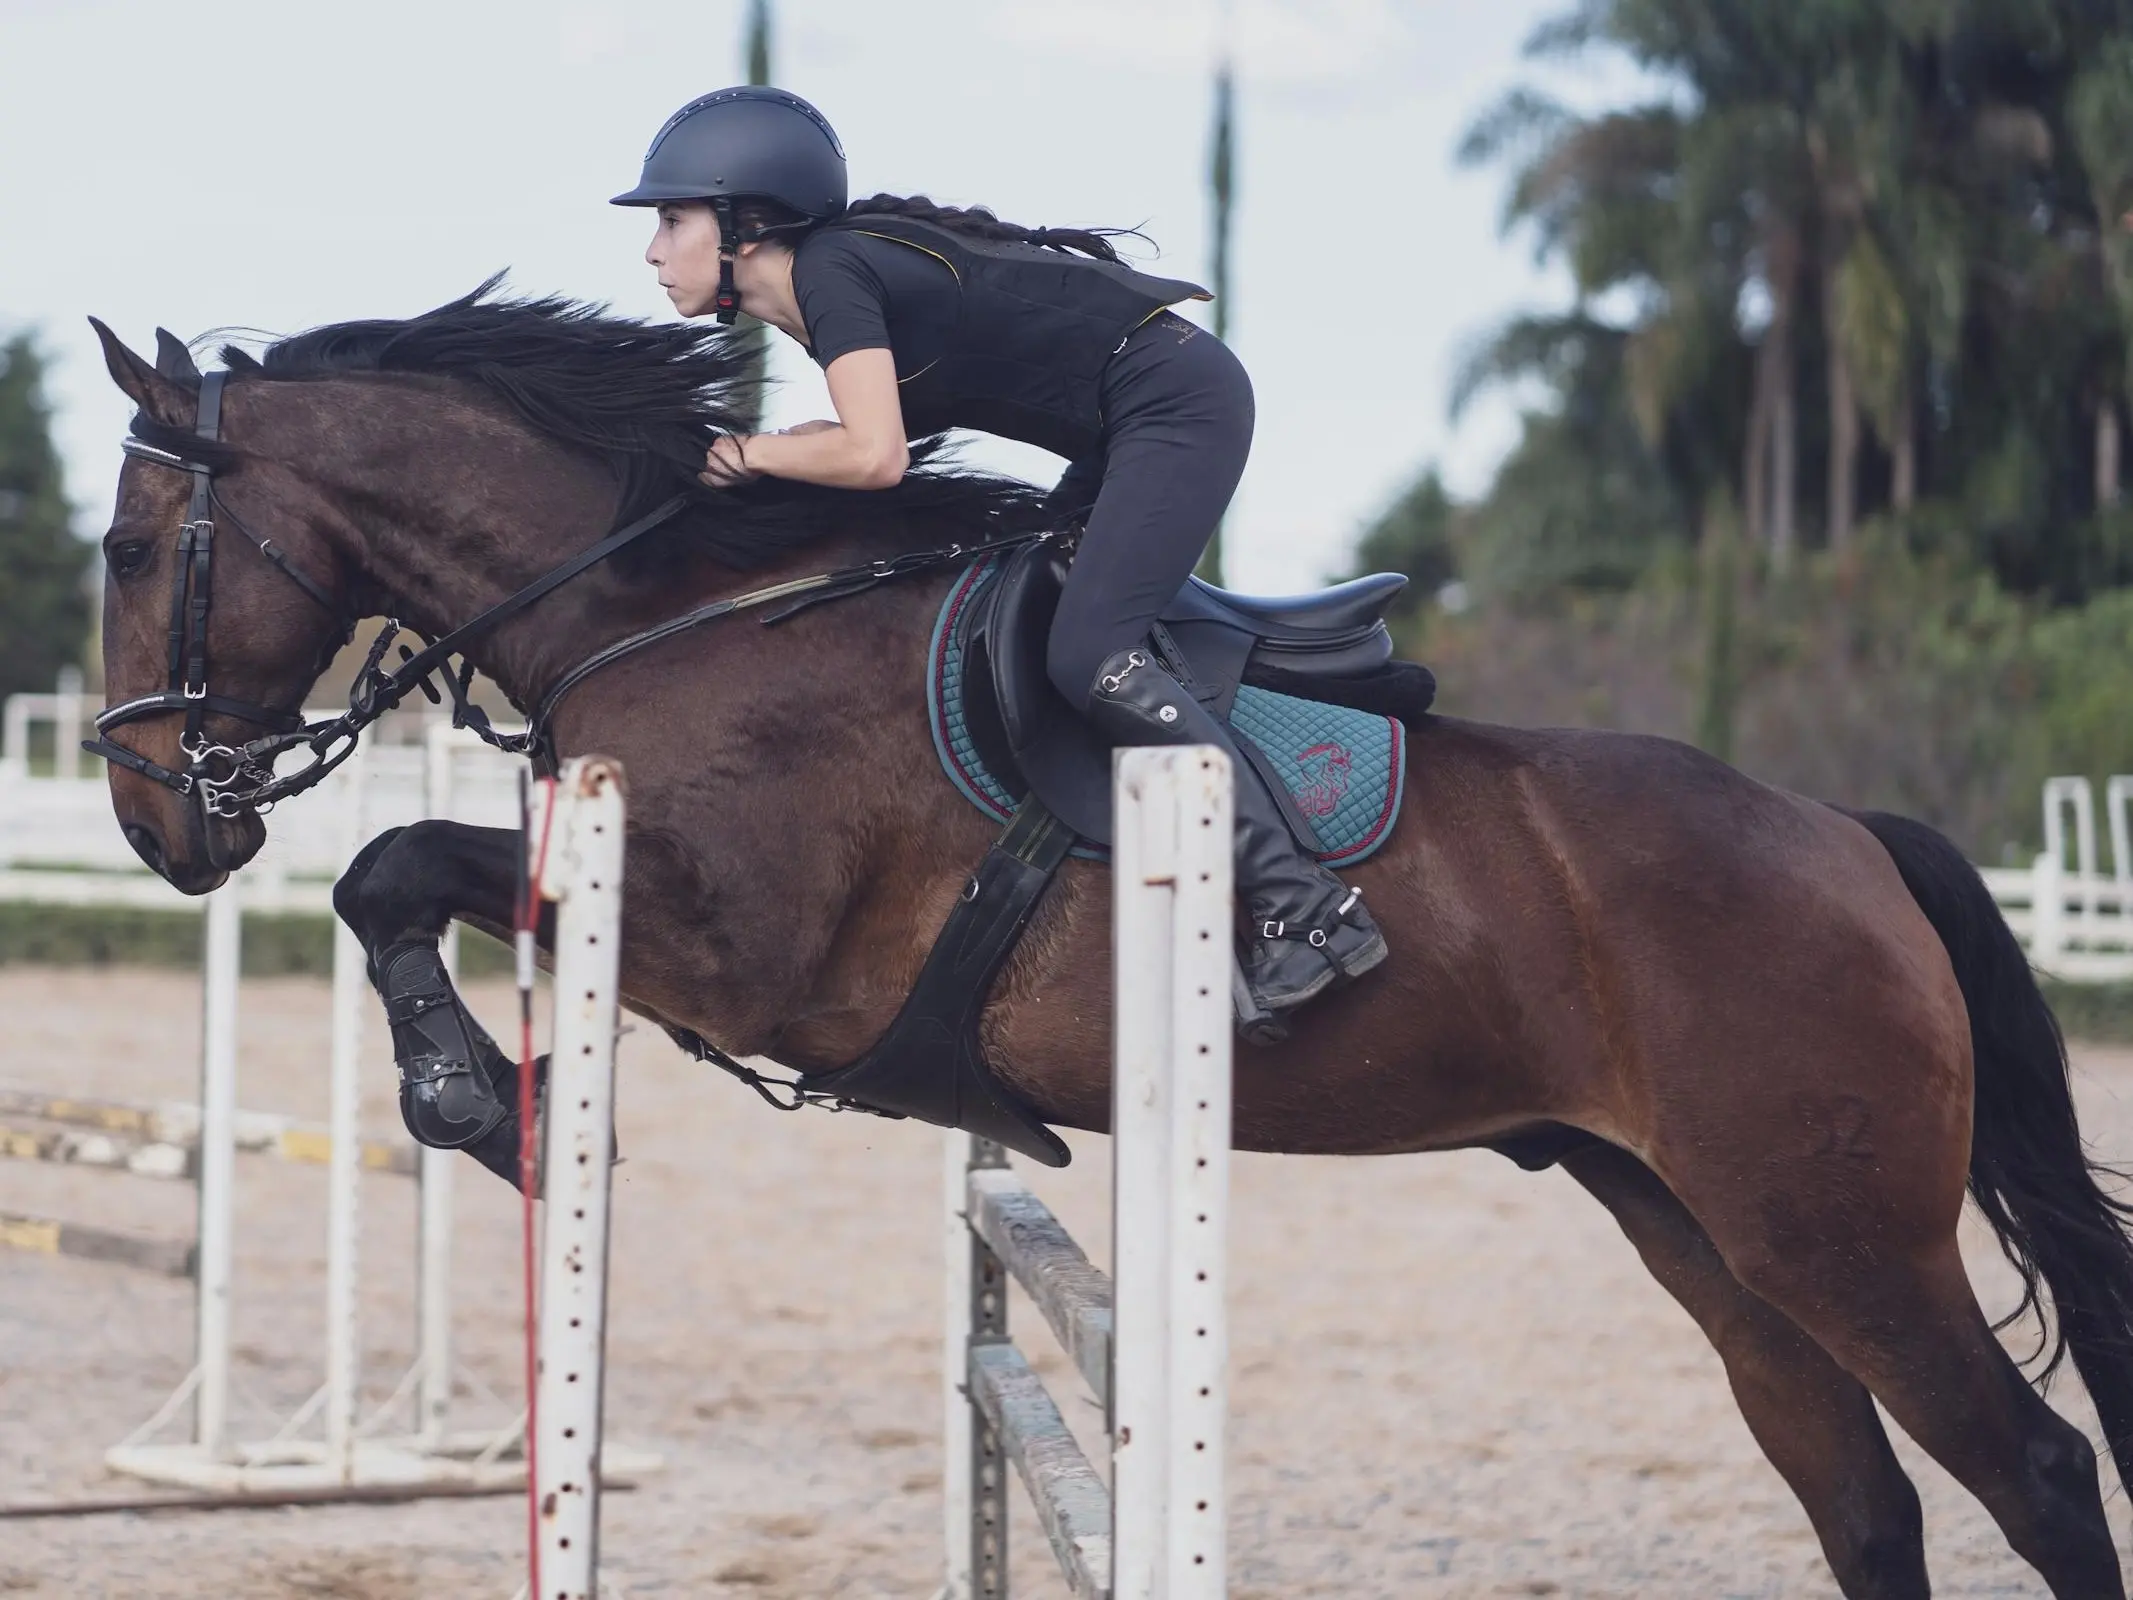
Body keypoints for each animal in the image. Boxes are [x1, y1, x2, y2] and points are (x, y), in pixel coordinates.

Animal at [86, 285, 2133, 1598]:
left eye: (121, 547)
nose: (157, 823)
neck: (674, 604)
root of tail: (1847, 840)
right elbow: (388, 878)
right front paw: (486, 1100)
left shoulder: (731, 944)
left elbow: (389, 867)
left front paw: (484, 1106)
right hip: (1701, 1231)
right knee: (1860, 1498)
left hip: (1831, 1228)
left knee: (2032, 1471)